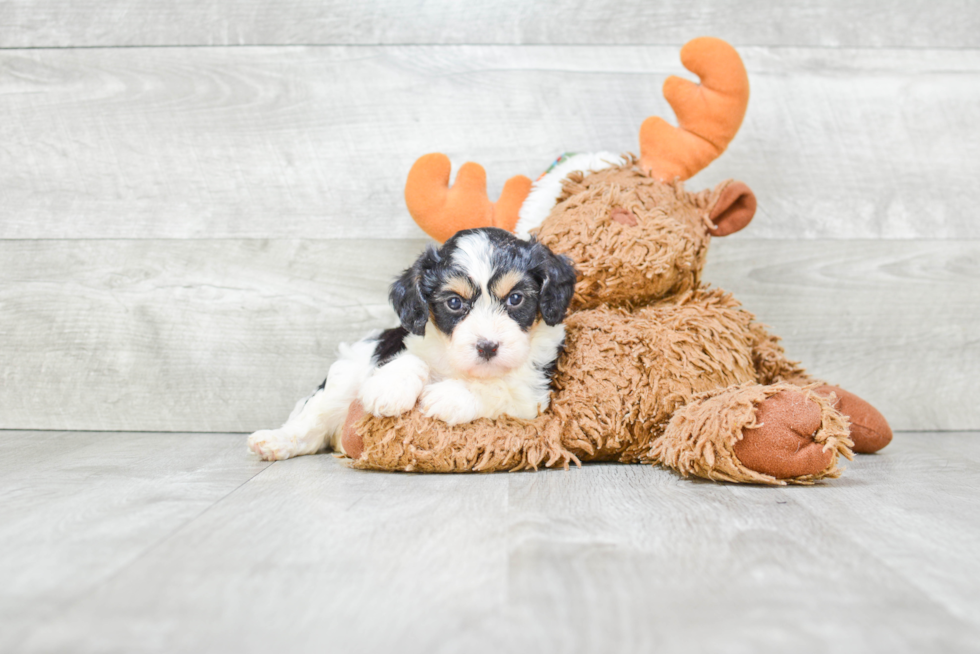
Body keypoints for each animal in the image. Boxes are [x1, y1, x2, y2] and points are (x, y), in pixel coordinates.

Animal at [249, 228, 580, 464]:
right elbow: (410, 358)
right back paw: (275, 441)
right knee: (313, 422)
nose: (487, 347)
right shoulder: (404, 342)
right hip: (345, 377)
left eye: (515, 299)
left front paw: (450, 395)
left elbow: (501, 387)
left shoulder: (533, 394)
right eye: (454, 303)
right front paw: (390, 389)